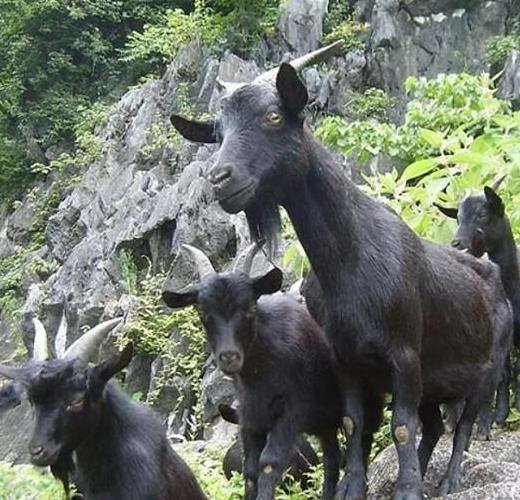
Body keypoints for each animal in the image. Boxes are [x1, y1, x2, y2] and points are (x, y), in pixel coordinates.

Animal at [161, 244, 342, 500]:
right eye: (202, 312)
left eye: (250, 308)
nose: (229, 356)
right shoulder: (250, 417)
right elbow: (249, 469)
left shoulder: (291, 410)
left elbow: (269, 462)